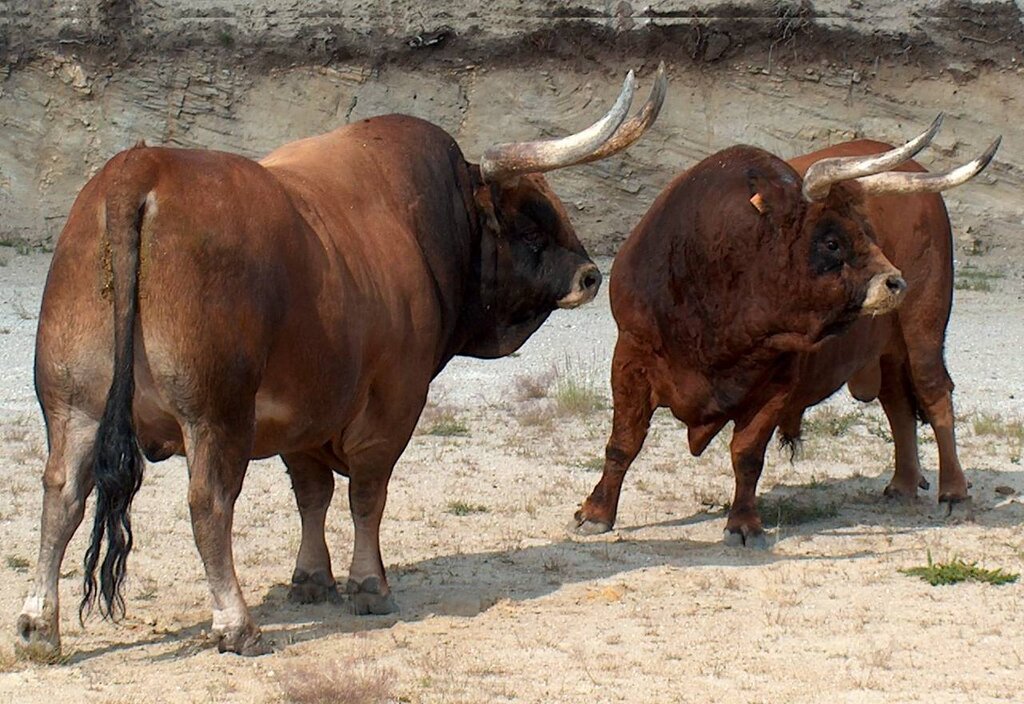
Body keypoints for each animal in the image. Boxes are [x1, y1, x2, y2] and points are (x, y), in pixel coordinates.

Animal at [19, 66, 667, 654]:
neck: (427, 225)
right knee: (208, 504)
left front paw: (311, 577)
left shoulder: (299, 416)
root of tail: (140, 169)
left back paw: (38, 625)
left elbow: (313, 495)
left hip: (74, 407)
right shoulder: (391, 407)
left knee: (61, 492)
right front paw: (369, 583)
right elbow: (366, 497)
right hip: (214, 417)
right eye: (531, 225)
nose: (590, 275)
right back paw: (236, 623)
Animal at [577, 118, 999, 548]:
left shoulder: (778, 380)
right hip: (888, 349)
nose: (895, 282)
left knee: (934, 394)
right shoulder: (631, 356)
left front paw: (743, 523)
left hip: (924, 328)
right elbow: (623, 442)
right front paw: (596, 511)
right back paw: (902, 484)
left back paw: (954, 492)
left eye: (868, 232)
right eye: (831, 241)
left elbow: (747, 454)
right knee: (896, 401)